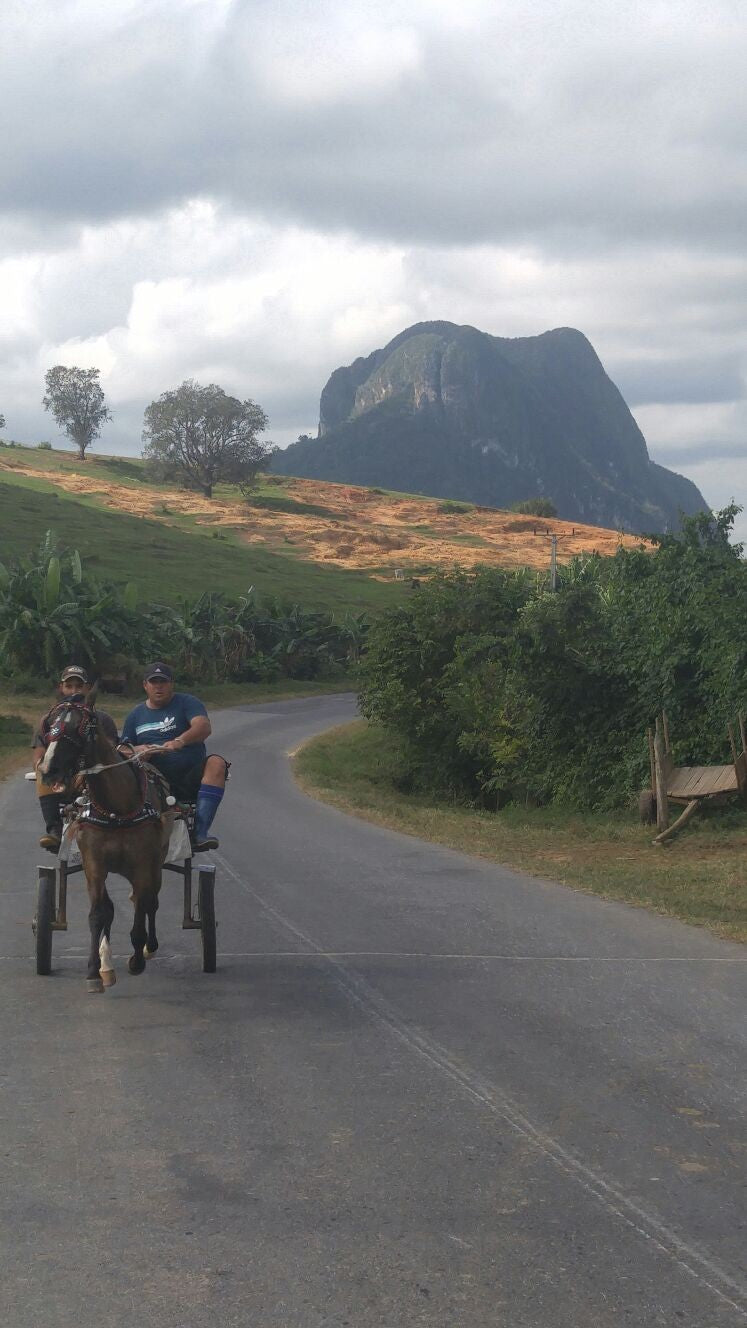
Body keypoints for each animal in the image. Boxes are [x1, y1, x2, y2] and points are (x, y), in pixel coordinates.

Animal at [37, 690, 174, 993]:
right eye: (50, 723)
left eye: (81, 727)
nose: (48, 768)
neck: (116, 807)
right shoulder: (94, 863)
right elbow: (99, 913)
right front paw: (94, 972)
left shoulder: (143, 862)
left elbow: (143, 904)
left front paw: (137, 958)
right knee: (114, 908)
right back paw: (106, 965)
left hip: (156, 860)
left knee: (150, 900)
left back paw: (148, 947)